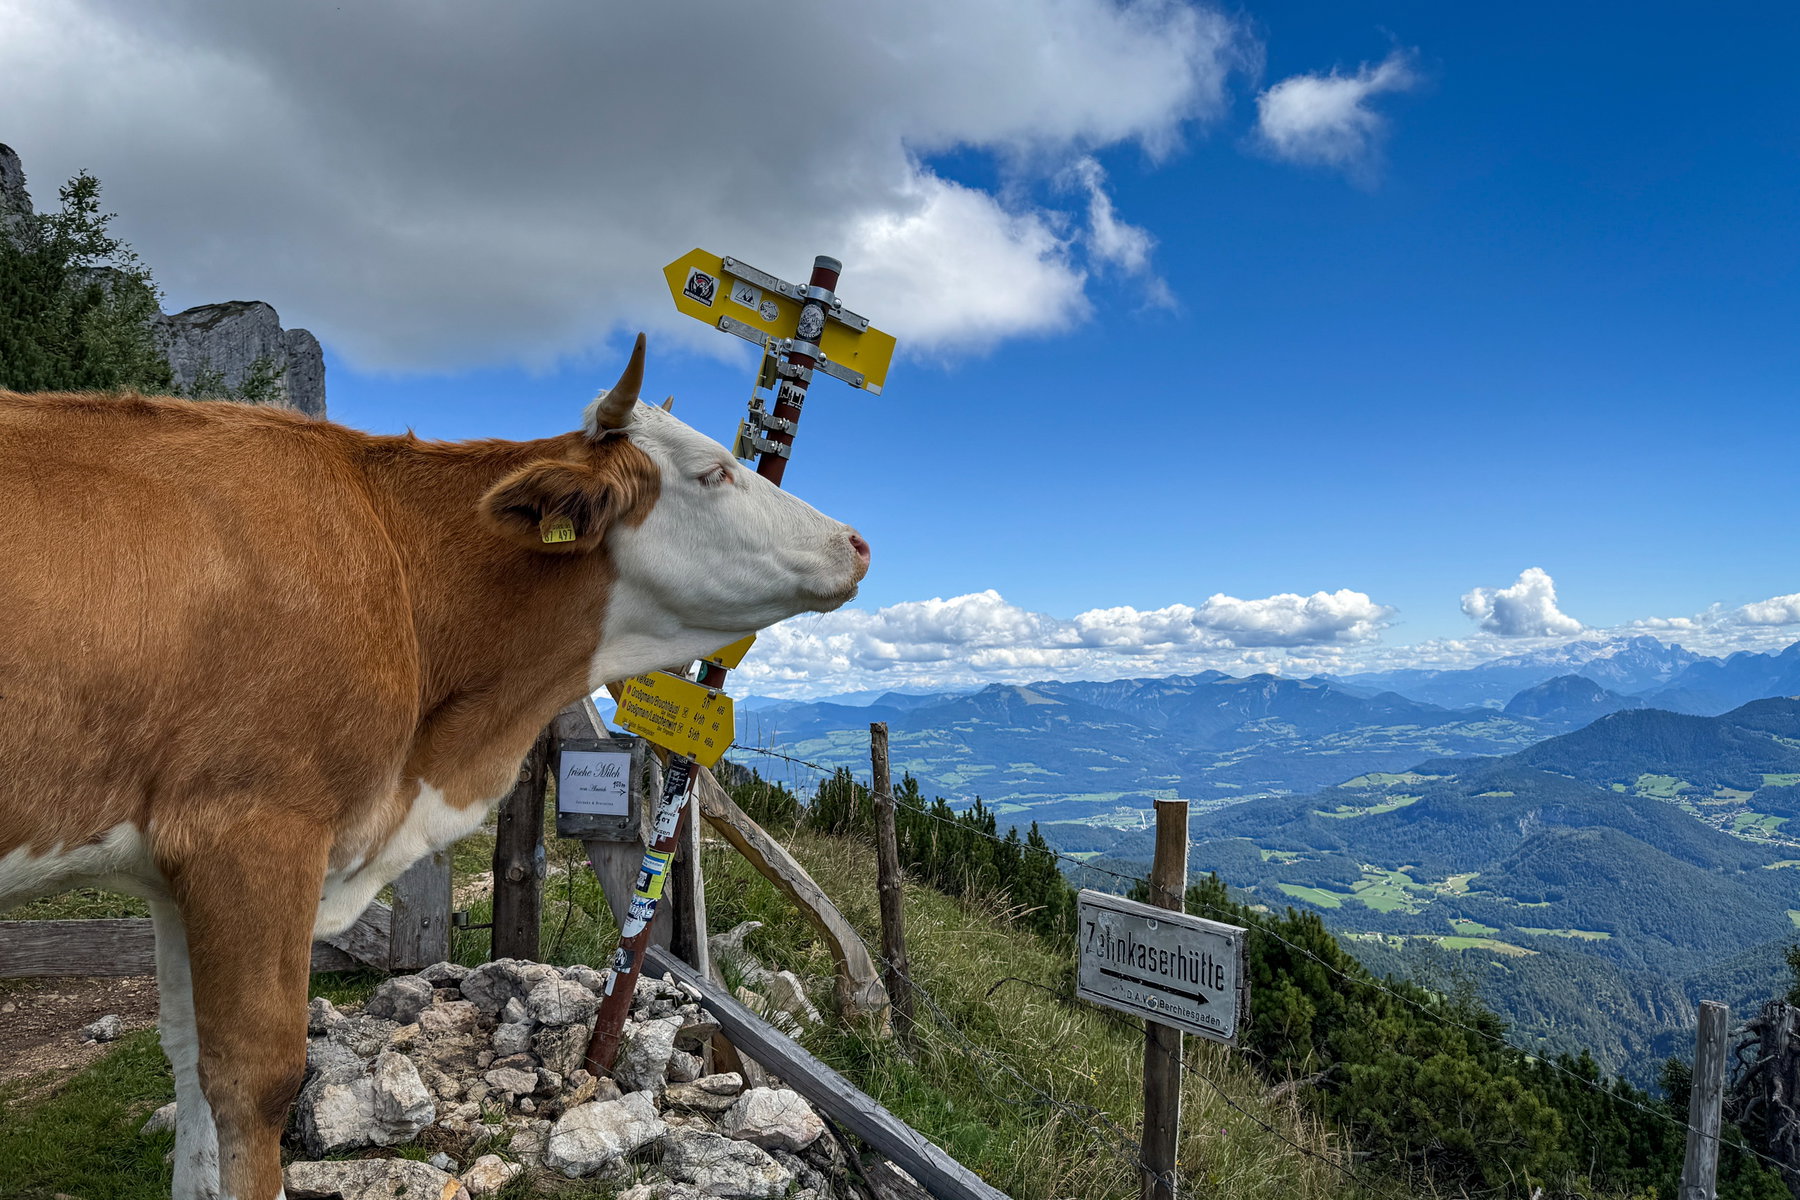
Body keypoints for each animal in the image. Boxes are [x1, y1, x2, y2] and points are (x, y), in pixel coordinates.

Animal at [0, 335, 869, 1200]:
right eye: (713, 472)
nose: (857, 543)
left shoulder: (171, 869)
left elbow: (188, 1062)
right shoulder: (251, 835)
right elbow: (255, 1082)